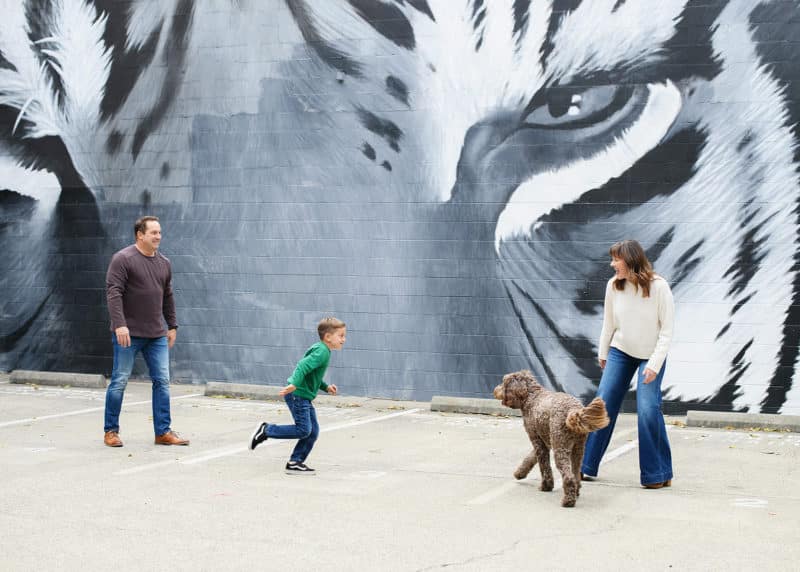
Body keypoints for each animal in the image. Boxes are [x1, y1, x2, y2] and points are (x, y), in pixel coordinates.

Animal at [490, 370, 608, 510]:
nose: (494, 390)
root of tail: (573, 410)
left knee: (568, 476)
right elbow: (529, 459)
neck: (532, 397)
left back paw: (568, 501)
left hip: (560, 446)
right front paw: (519, 473)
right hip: (578, 449)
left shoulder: (537, 440)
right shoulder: (542, 441)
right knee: (575, 472)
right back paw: (576, 492)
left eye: (503, 383)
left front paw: (546, 486)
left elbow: (544, 465)